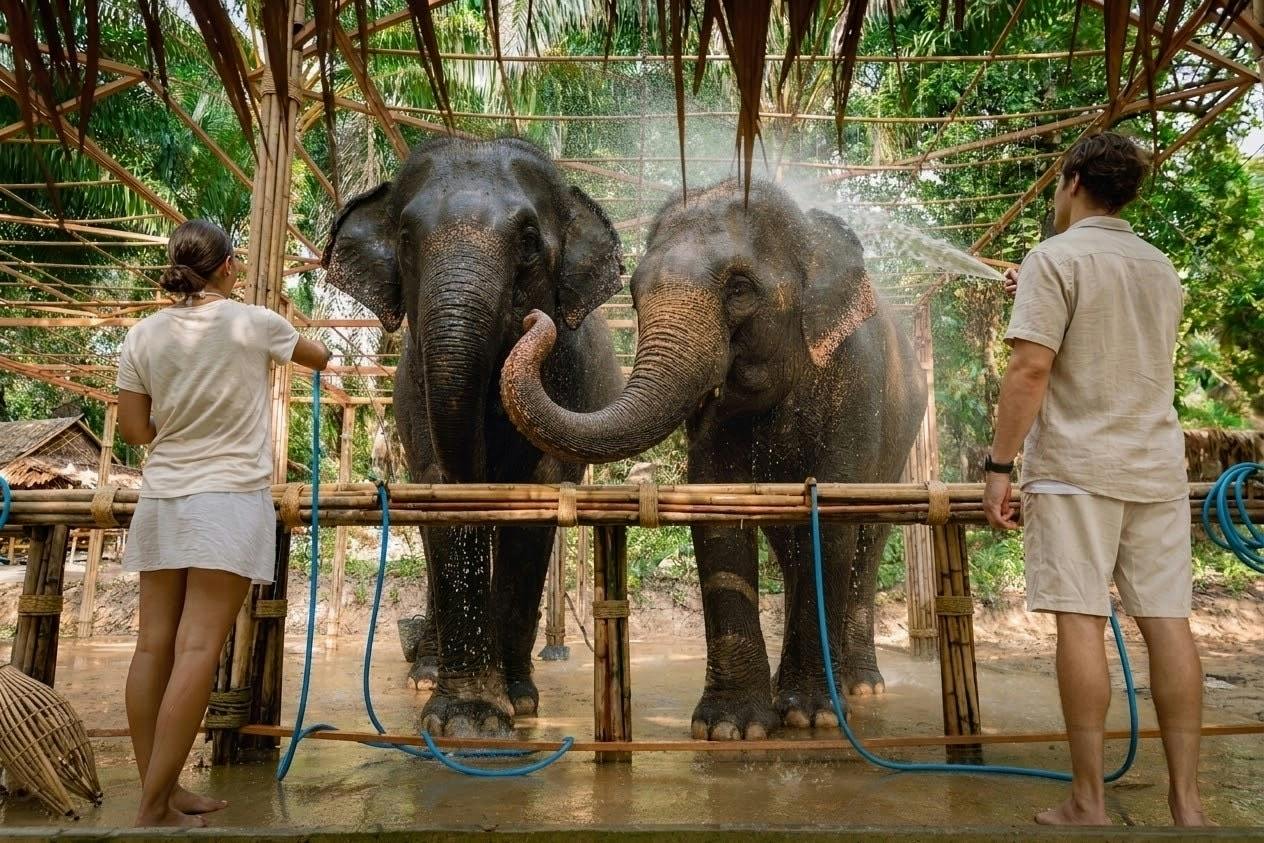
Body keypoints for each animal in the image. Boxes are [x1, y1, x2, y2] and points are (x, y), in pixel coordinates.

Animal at [322, 137, 624, 736]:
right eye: (406, 240)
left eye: (528, 241)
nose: (529, 319)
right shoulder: (416, 393)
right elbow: (443, 491)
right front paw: (465, 718)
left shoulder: (568, 382)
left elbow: (535, 500)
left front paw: (513, 704)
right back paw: (424, 674)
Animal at [499, 179, 927, 740]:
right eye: (633, 294)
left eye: (740, 289)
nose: (534, 317)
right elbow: (717, 511)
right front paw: (731, 727)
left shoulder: (854, 382)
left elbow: (830, 517)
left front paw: (809, 715)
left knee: (867, 538)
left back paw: (859, 687)